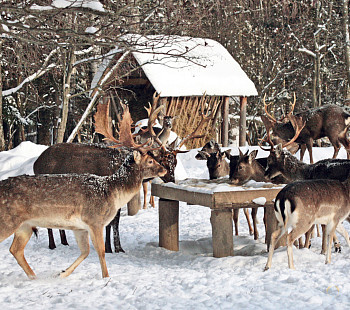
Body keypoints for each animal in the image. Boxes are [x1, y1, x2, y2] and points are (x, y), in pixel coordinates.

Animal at [0, 108, 167, 280]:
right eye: (150, 161)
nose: (164, 169)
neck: (111, 192)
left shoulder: (79, 228)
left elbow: (85, 252)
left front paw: (63, 273)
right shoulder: (94, 220)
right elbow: (101, 251)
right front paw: (106, 277)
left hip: (25, 225)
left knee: (15, 249)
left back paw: (34, 277)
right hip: (7, 220)